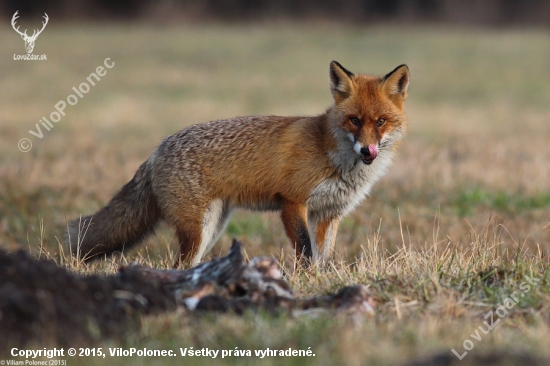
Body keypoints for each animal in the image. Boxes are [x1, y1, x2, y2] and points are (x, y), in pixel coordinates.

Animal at [66, 62, 410, 266]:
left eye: (381, 121)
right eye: (355, 121)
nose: (367, 151)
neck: (332, 155)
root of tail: (156, 151)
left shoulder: (329, 214)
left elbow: (323, 257)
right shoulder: (292, 202)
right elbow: (305, 252)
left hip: (214, 227)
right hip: (198, 230)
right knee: (179, 266)